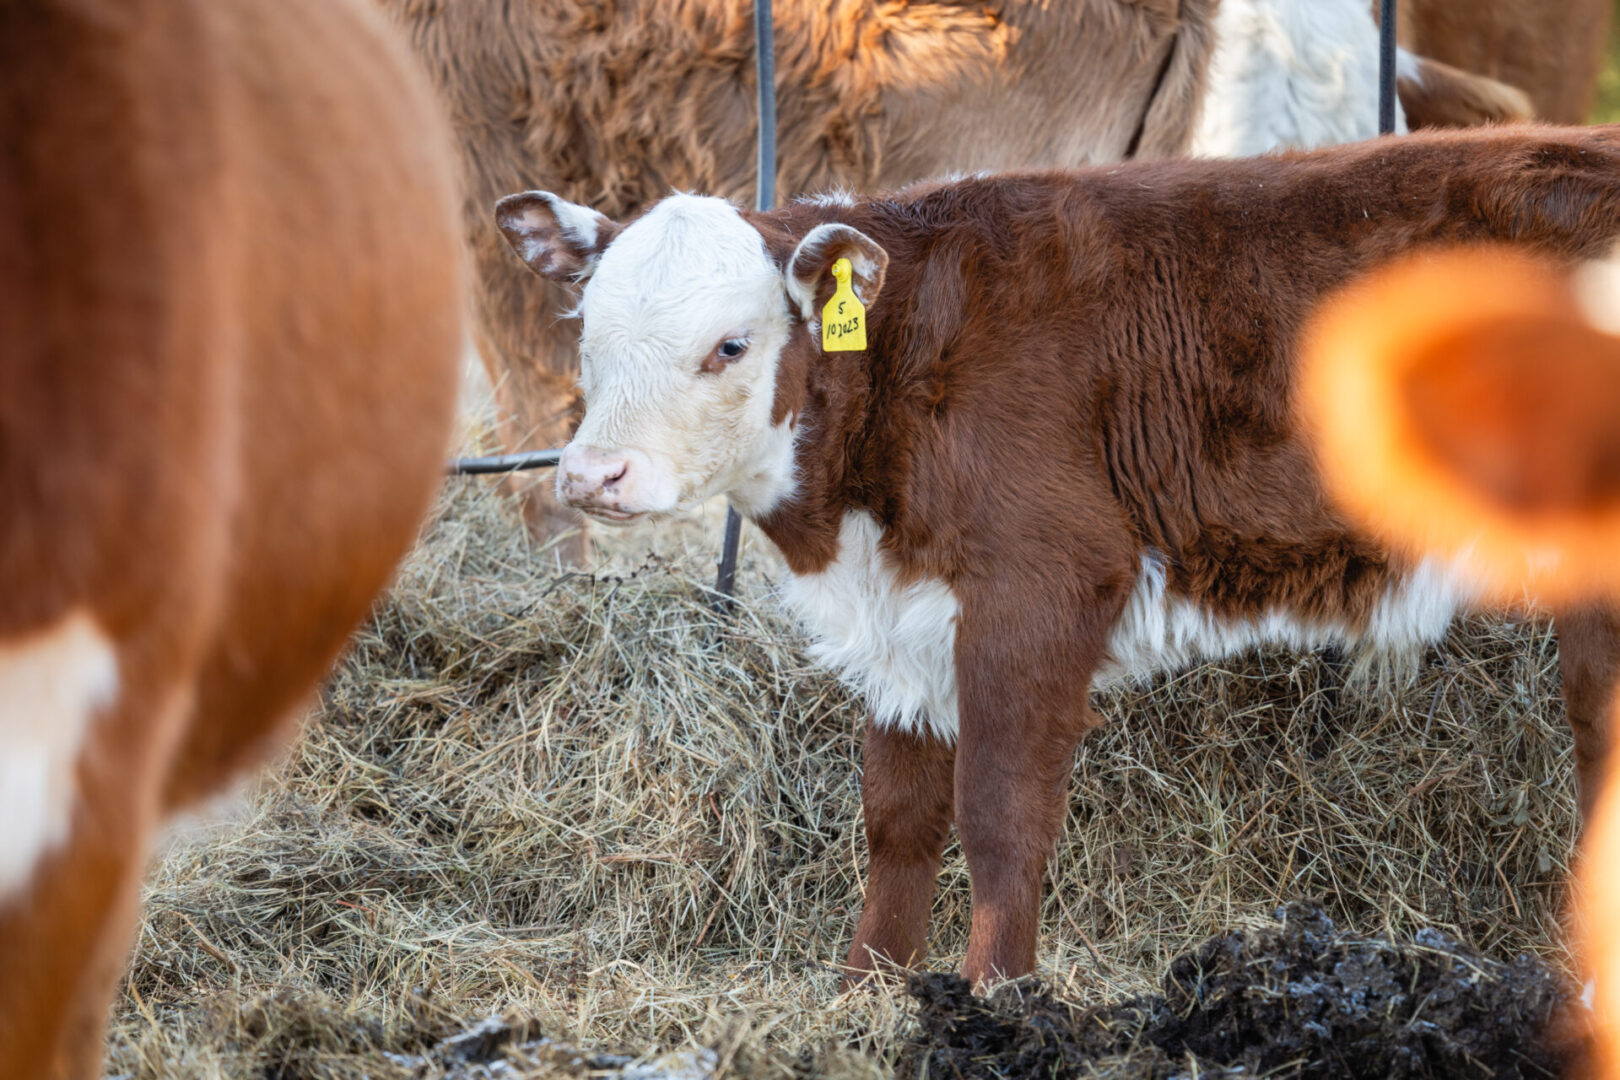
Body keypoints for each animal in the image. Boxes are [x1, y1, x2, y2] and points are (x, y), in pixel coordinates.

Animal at [495, 127, 1620, 990]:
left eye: (729, 346)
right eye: (587, 332)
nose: (593, 474)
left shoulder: (1039, 586)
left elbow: (1000, 817)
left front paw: (995, 998)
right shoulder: (905, 615)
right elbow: (897, 819)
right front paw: (867, 990)